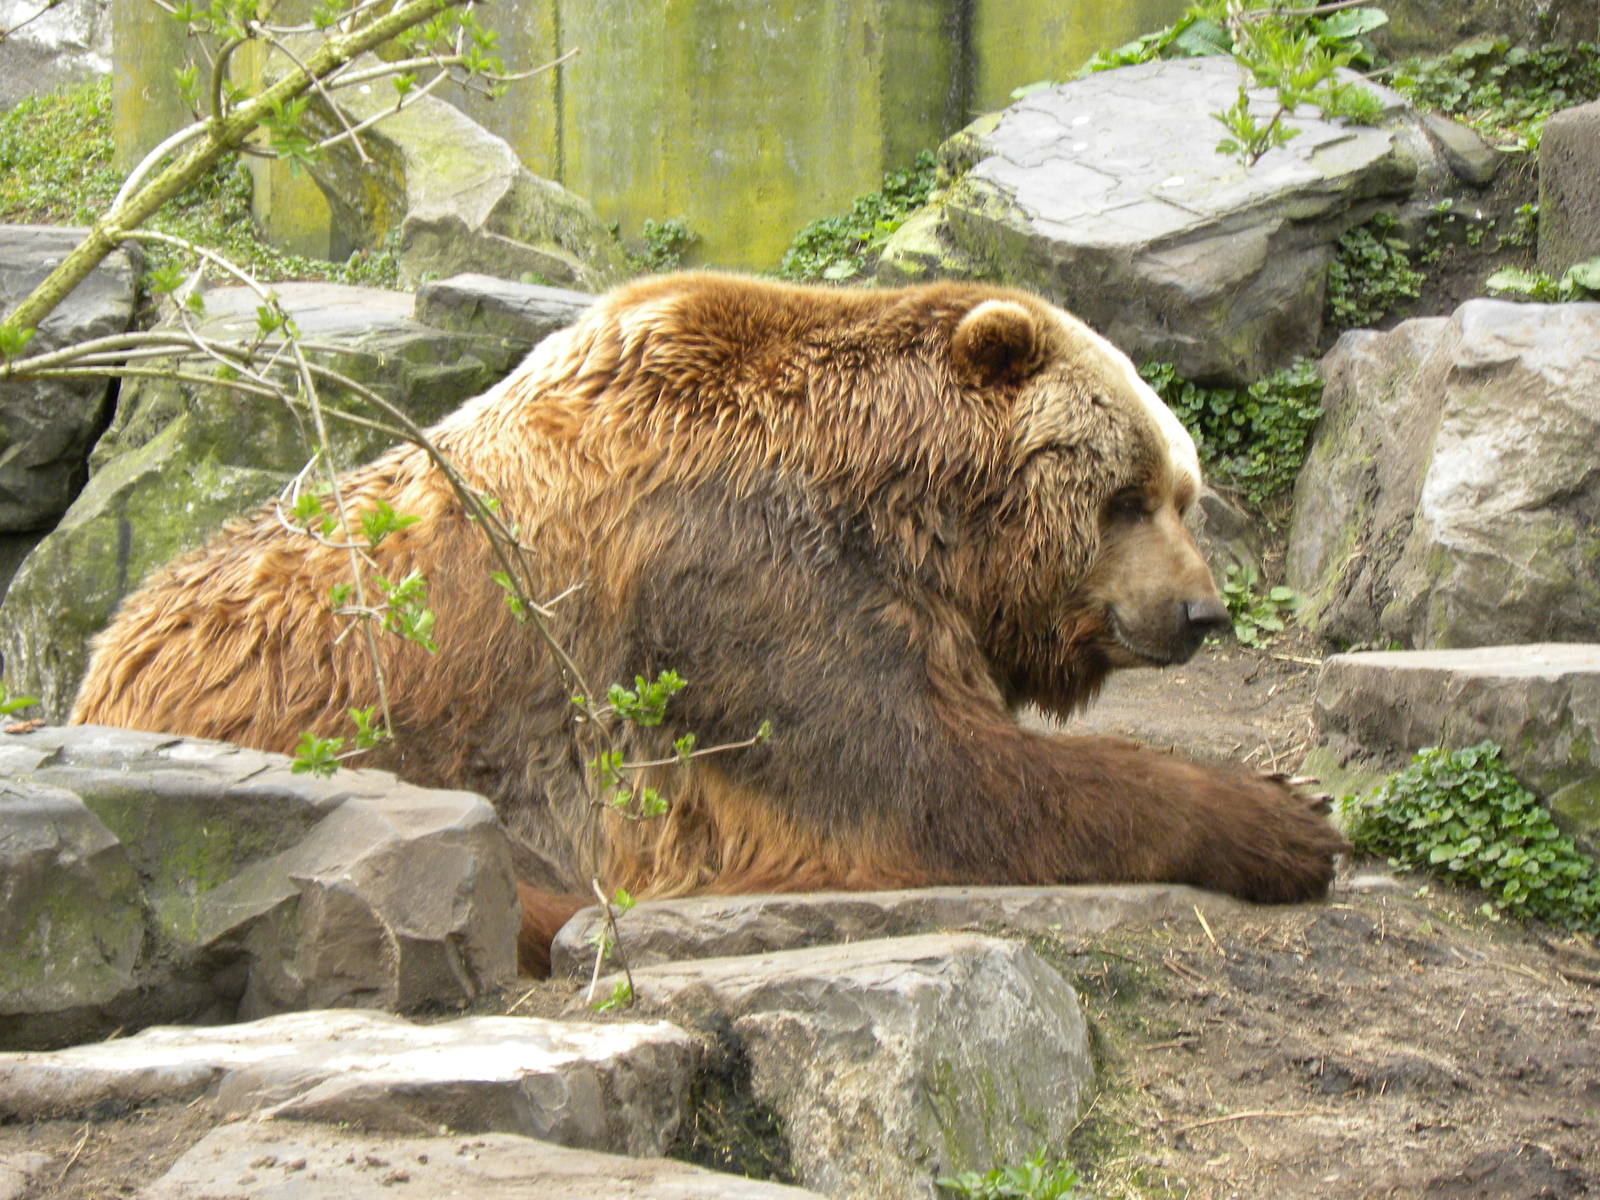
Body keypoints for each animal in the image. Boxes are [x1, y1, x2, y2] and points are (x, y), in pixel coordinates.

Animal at [72, 273, 1344, 974]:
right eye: (1124, 494)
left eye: (1183, 491)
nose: (1198, 611)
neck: (900, 499)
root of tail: (101, 661)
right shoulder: (739, 582)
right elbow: (924, 781)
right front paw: (1283, 820)